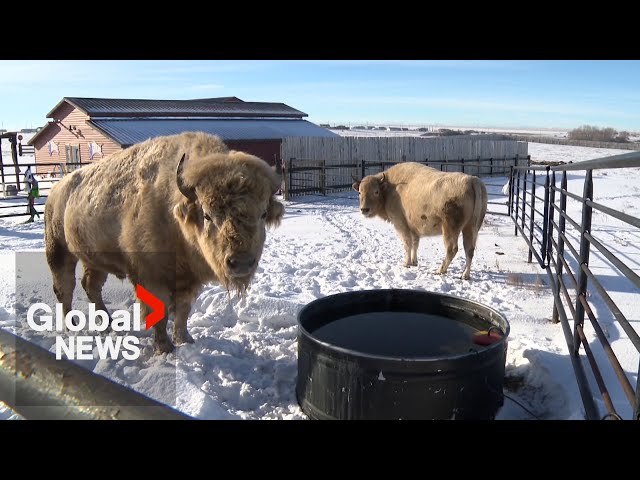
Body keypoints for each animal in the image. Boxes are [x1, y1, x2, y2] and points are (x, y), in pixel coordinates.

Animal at [43, 131, 284, 352]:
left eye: (263, 214)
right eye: (207, 215)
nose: (241, 263)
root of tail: (56, 190)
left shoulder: (189, 279)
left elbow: (183, 311)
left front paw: (185, 339)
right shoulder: (150, 276)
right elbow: (159, 312)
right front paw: (165, 347)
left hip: (94, 260)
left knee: (90, 285)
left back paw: (109, 324)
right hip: (59, 251)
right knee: (64, 287)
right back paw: (71, 326)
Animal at [352, 162, 488, 280]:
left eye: (376, 191)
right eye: (360, 192)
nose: (364, 209)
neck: (390, 187)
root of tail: (472, 180)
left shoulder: (400, 224)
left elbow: (407, 243)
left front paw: (406, 263)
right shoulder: (414, 228)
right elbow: (415, 244)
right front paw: (414, 262)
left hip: (450, 229)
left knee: (452, 249)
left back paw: (440, 270)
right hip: (471, 228)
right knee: (469, 249)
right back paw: (465, 275)